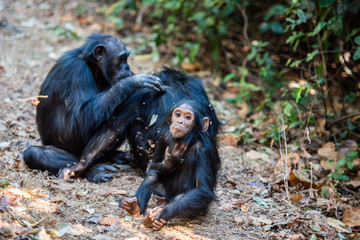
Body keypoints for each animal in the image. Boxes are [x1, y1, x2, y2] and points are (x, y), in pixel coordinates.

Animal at [24, 31, 165, 182]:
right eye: (122, 59)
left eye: (126, 59)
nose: (127, 67)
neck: (93, 66)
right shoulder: (78, 71)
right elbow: (81, 116)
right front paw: (132, 82)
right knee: (35, 154)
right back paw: (92, 170)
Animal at [119, 100, 219, 231]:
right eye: (178, 114)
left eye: (188, 117)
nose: (180, 122)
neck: (183, 140)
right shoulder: (163, 136)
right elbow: (151, 165)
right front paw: (170, 161)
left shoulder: (205, 150)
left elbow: (203, 188)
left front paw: (162, 213)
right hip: (162, 193)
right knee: (153, 174)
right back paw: (135, 208)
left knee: (180, 198)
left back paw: (155, 218)